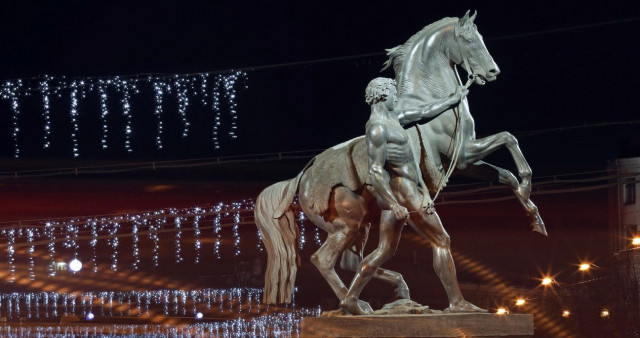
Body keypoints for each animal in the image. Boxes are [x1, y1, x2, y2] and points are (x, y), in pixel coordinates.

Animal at [255, 12, 544, 314]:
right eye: (468, 39)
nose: (492, 72)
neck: (428, 100)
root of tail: (301, 177)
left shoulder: (464, 162)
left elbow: (506, 174)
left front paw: (535, 217)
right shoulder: (465, 153)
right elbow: (509, 139)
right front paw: (527, 185)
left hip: (359, 225)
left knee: (357, 261)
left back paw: (385, 296)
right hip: (348, 226)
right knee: (325, 260)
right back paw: (357, 305)